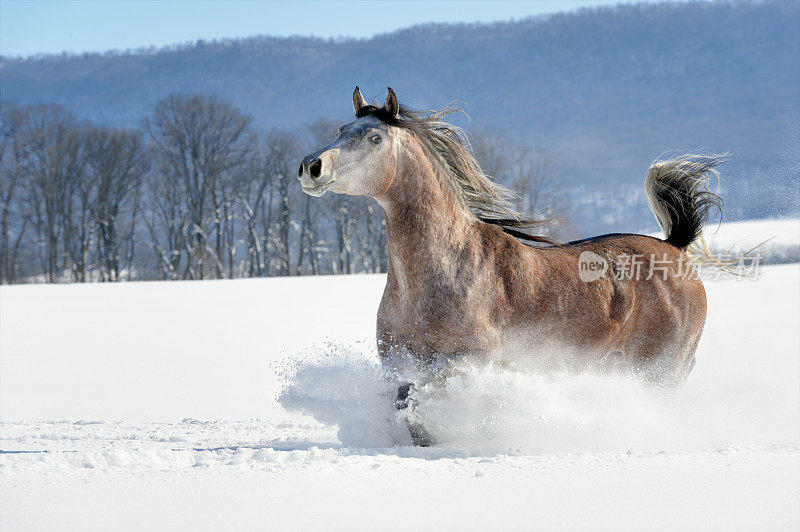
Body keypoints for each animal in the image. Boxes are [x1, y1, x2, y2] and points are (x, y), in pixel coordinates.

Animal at [296, 86, 720, 444]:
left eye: (375, 138)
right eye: (341, 129)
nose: (311, 166)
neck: (444, 270)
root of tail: (675, 248)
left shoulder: (468, 361)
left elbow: (424, 406)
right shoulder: (399, 363)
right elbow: (407, 410)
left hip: (661, 371)